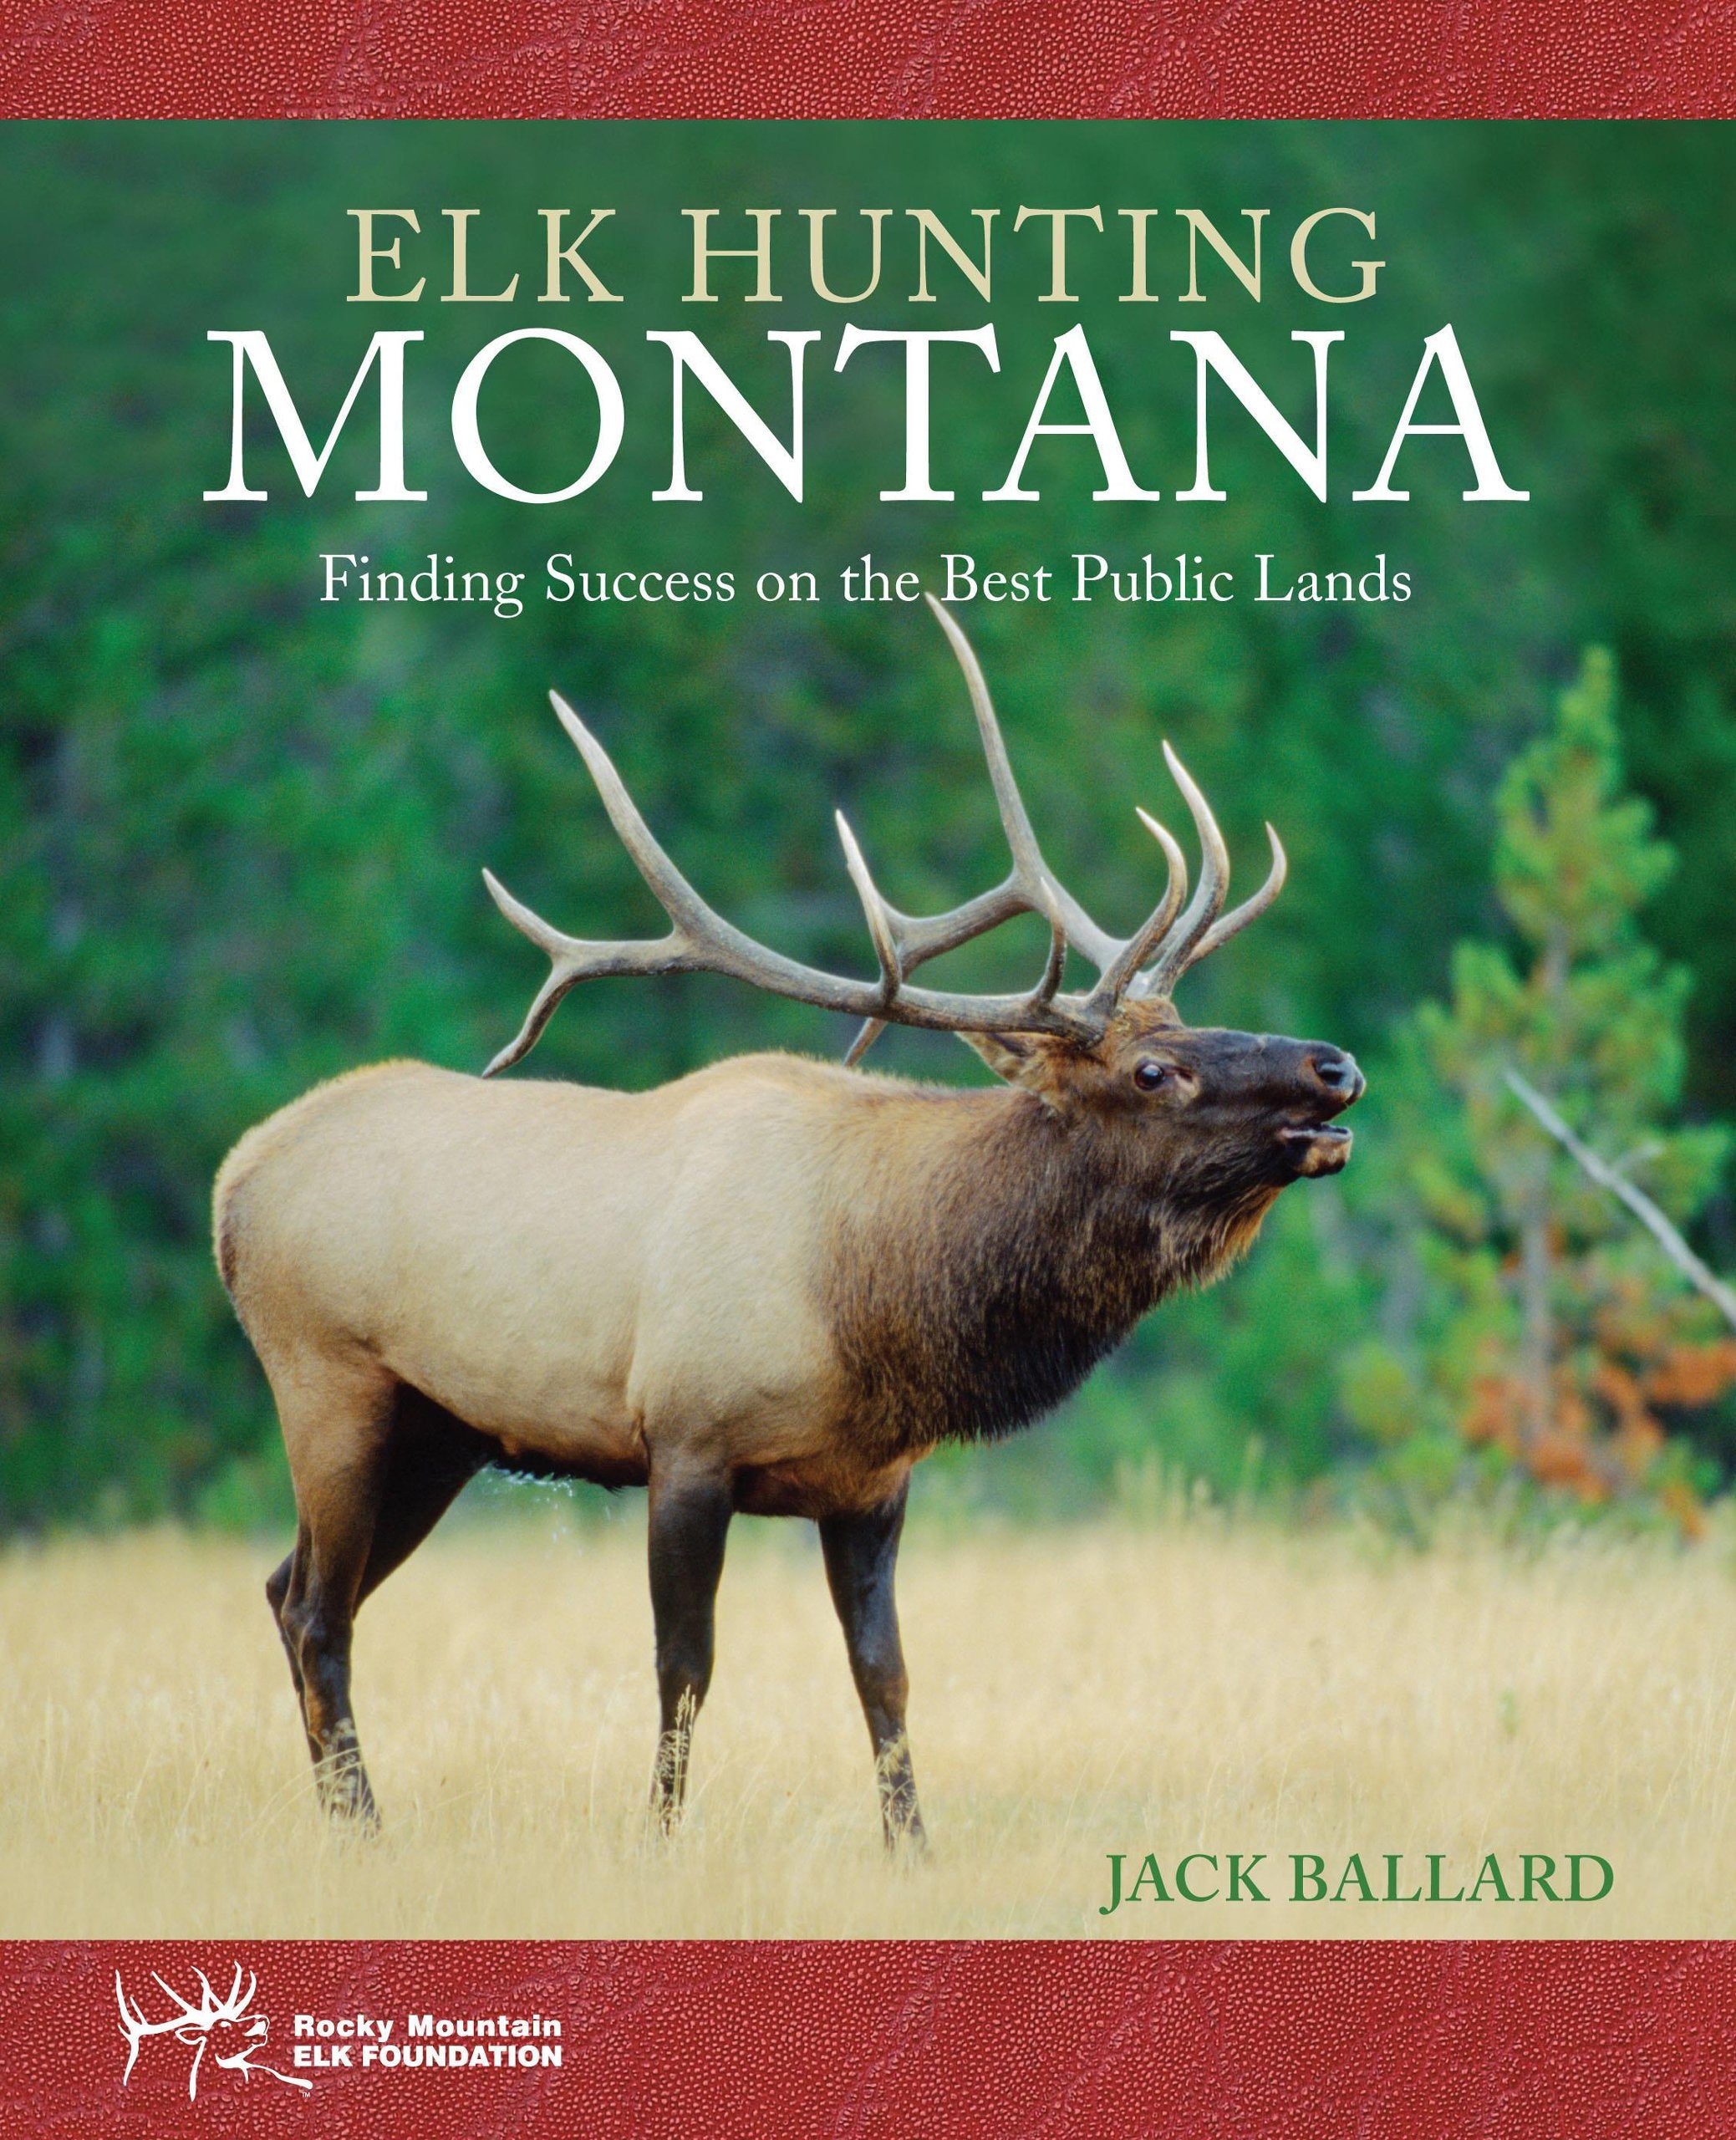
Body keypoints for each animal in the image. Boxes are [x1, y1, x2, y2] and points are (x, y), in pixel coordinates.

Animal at [214, 596, 1363, 1849]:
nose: (1334, 1064)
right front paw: (659, 1840)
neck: (879, 1293)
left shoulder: (872, 1482)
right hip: (328, 1380)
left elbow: (884, 1676)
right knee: (318, 1608)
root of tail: (234, 1179)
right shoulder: (686, 1440)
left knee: (284, 1589)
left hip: (440, 1429)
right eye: (1155, 1071)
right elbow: (685, 1668)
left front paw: (912, 1849)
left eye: (1192, 1018)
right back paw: (362, 1827)